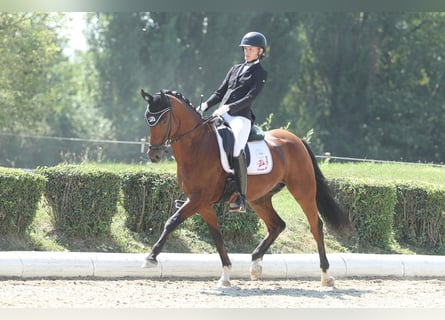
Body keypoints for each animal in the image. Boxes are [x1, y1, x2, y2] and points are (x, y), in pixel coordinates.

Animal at [139, 88, 350, 288]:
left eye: (163, 119)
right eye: (148, 120)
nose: (154, 155)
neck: (197, 146)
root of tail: (296, 139)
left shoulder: (198, 199)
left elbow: (172, 222)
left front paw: (151, 257)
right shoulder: (203, 204)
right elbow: (217, 236)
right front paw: (225, 275)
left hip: (303, 190)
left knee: (316, 226)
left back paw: (325, 275)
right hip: (259, 198)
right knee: (277, 225)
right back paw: (255, 265)